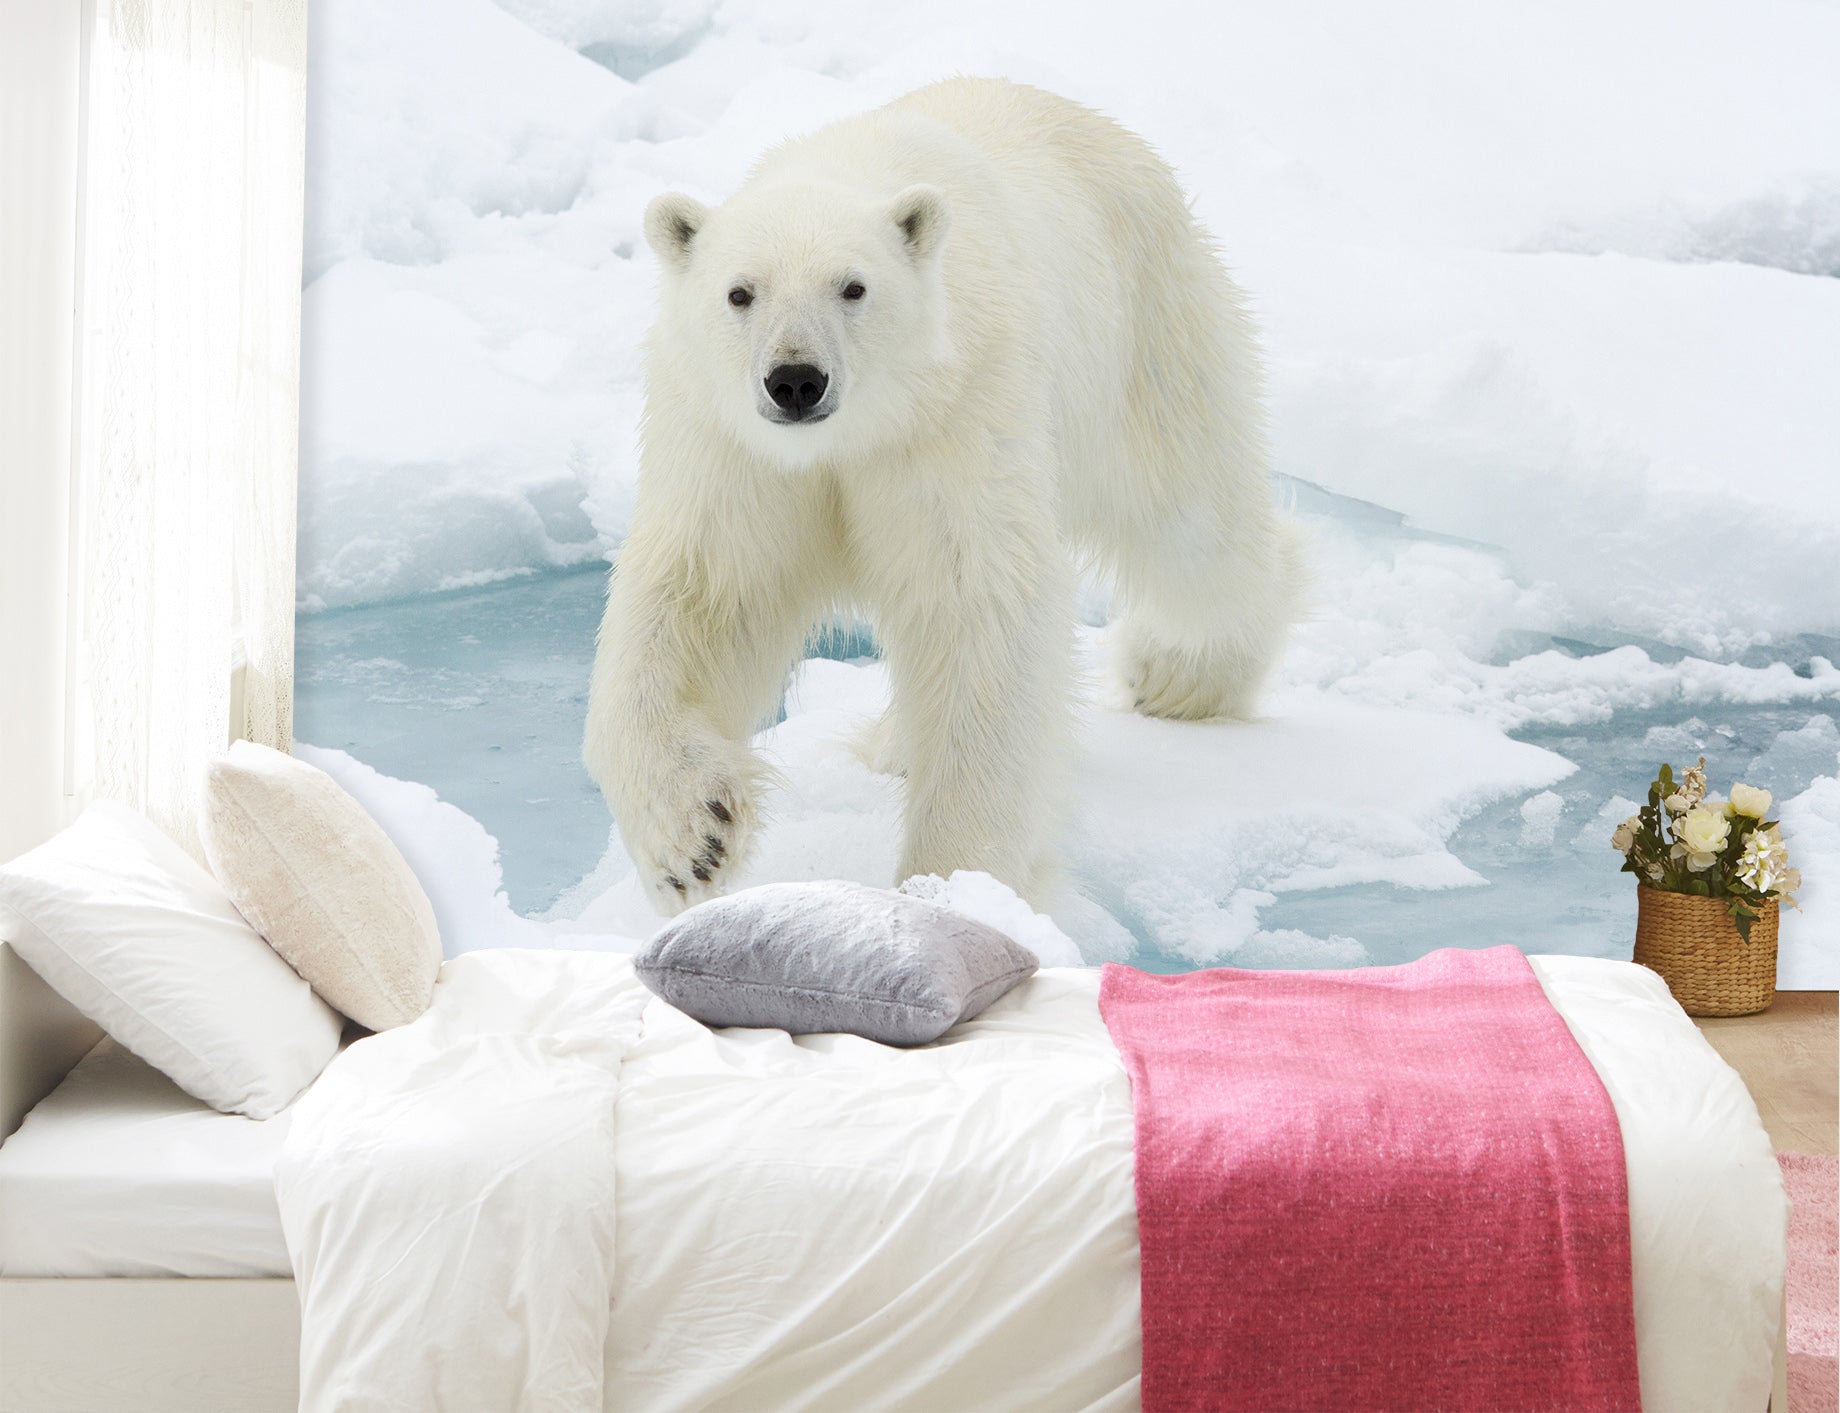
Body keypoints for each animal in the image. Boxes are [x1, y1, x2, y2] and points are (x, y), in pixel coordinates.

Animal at [585, 77, 1300, 916]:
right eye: (739, 292)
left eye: (854, 287)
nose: (795, 380)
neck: (853, 434)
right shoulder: (735, 449)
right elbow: (701, 596)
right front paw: (693, 838)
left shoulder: (955, 412)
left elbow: (975, 605)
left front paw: (954, 883)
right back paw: (897, 741)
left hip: (1146, 331)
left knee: (1191, 525)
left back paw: (1178, 676)